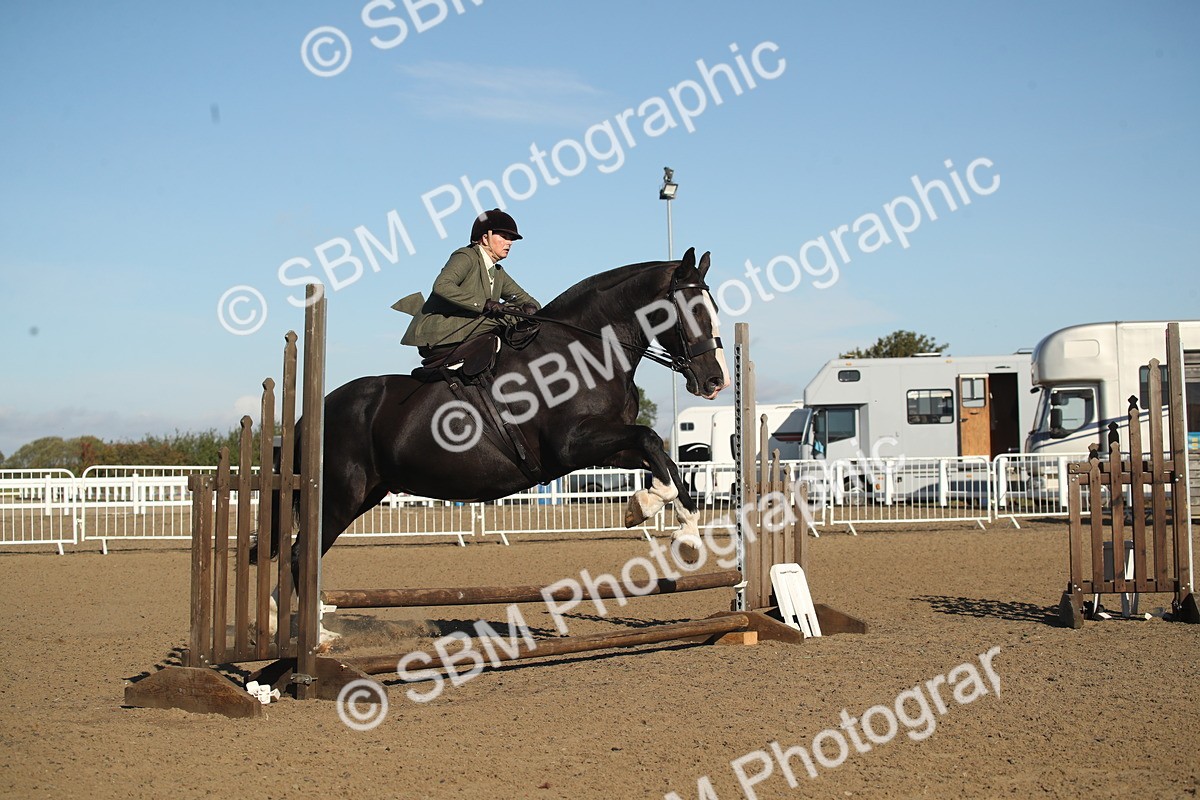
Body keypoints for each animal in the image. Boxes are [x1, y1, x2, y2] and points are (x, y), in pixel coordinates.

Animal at [256, 247, 730, 638]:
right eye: (691, 310)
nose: (715, 382)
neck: (585, 352)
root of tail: (313, 413)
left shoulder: (604, 446)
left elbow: (663, 459)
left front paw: (681, 531)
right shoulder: (572, 445)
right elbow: (651, 441)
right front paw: (649, 510)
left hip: (367, 493)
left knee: (302, 554)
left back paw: (292, 624)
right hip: (339, 495)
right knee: (300, 554)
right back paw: (315, 635)